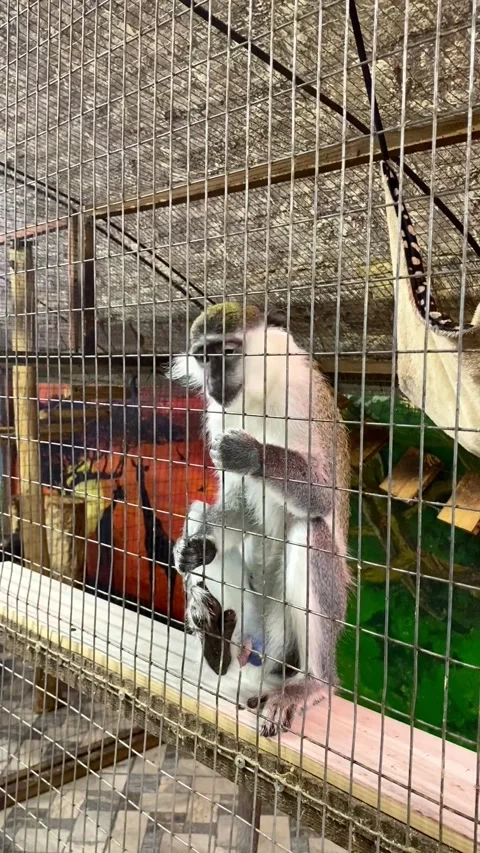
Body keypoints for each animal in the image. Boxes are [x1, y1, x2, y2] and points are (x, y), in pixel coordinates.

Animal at [170, 302, 350, 738]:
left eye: (226, 351)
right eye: (203, 355)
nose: (214, 380)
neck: (257, 393)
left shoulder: (300, 396)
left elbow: (323, 493)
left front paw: (254, 456)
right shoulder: (219, 414)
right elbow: (237, 505)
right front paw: (190, 550)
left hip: (290, 629)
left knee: (309, 531)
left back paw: (313, 683)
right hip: (252, 621)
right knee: (205, 521)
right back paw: (217, 642)